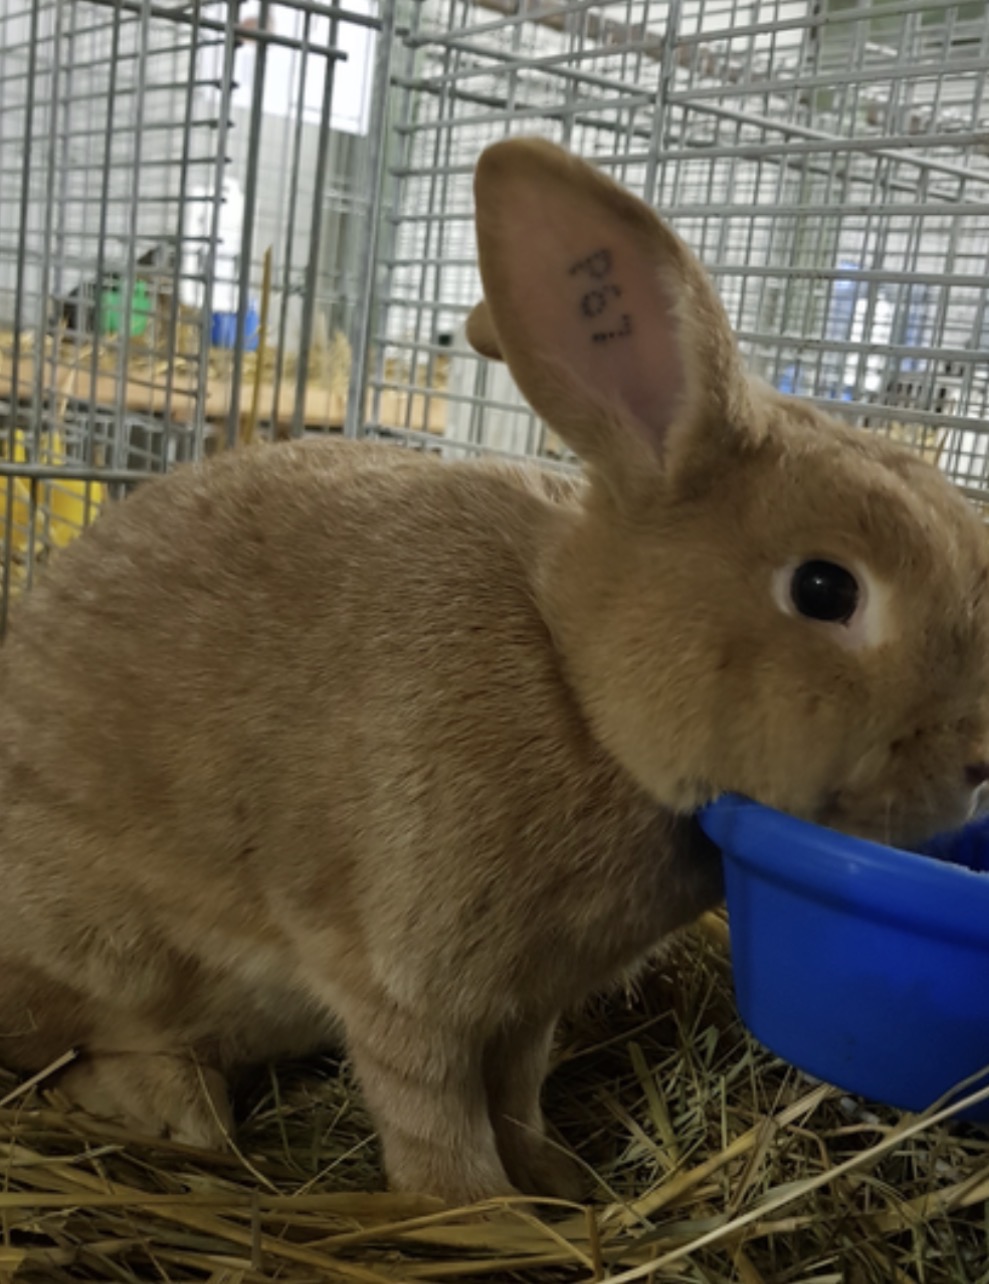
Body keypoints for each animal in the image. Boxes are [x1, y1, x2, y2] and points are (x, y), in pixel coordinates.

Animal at [3, 137, 989, 1208]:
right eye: (822, 588)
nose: (978, 760)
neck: (575, 680)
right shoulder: (399, 978)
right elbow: (431, 1105)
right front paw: (481, 1210)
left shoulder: (528, 1005)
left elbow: (516, 1088)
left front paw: (558, 1181)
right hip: (109, 954)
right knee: (91, 1049)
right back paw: (181, 1113)